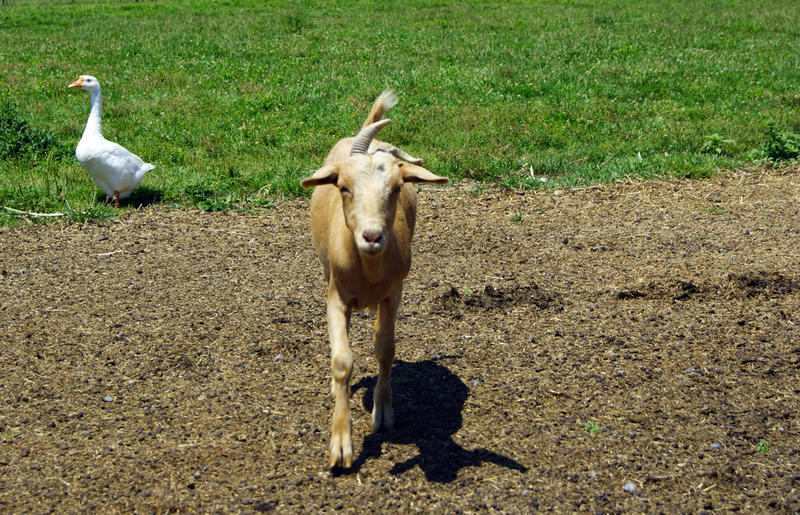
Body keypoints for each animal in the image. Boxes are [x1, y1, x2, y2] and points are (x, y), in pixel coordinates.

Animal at [302, 90, 446, 470]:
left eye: (396, 188)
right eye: (343, 187)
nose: (371, 236)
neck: (368, 269)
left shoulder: (394, 293)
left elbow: (385, 348)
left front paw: (383, 412)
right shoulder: (336, 296)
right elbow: (342, 360)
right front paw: (340, 446)